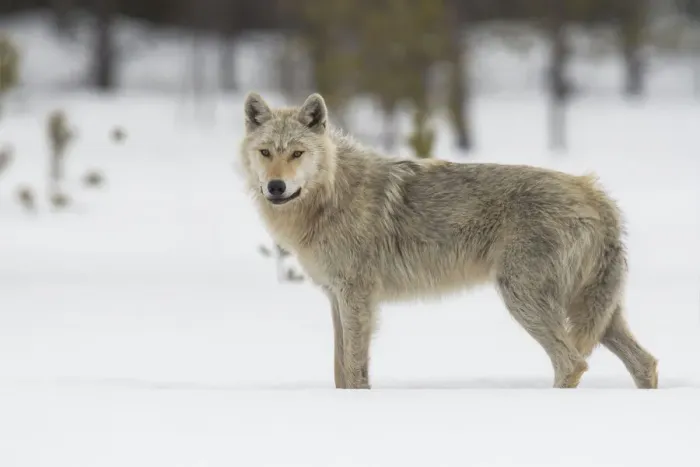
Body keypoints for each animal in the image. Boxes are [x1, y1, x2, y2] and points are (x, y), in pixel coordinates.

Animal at [238, 91, 659, 390]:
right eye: (266, 152)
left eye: (297, 153)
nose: (276, 186)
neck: (331, 196)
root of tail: (595, 193)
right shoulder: (335, 297)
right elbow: (340, 371)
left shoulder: (356, 297)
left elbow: (355, 372)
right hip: (595, 313)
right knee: (646, 363)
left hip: (525, 299)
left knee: (572, 363)